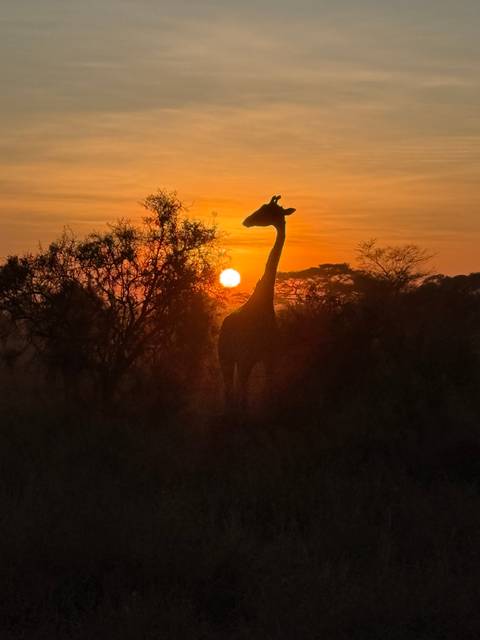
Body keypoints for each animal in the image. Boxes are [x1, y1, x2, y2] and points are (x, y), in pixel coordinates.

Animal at [218, 195, 296, 410]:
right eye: (262, 206)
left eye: (267, 210)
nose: (247, 221)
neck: (264, 302)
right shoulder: (247, 358)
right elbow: (245, 396)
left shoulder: (271, 358)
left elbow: (269, 391)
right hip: (226, 358)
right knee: (232, 391)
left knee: (234, 391)